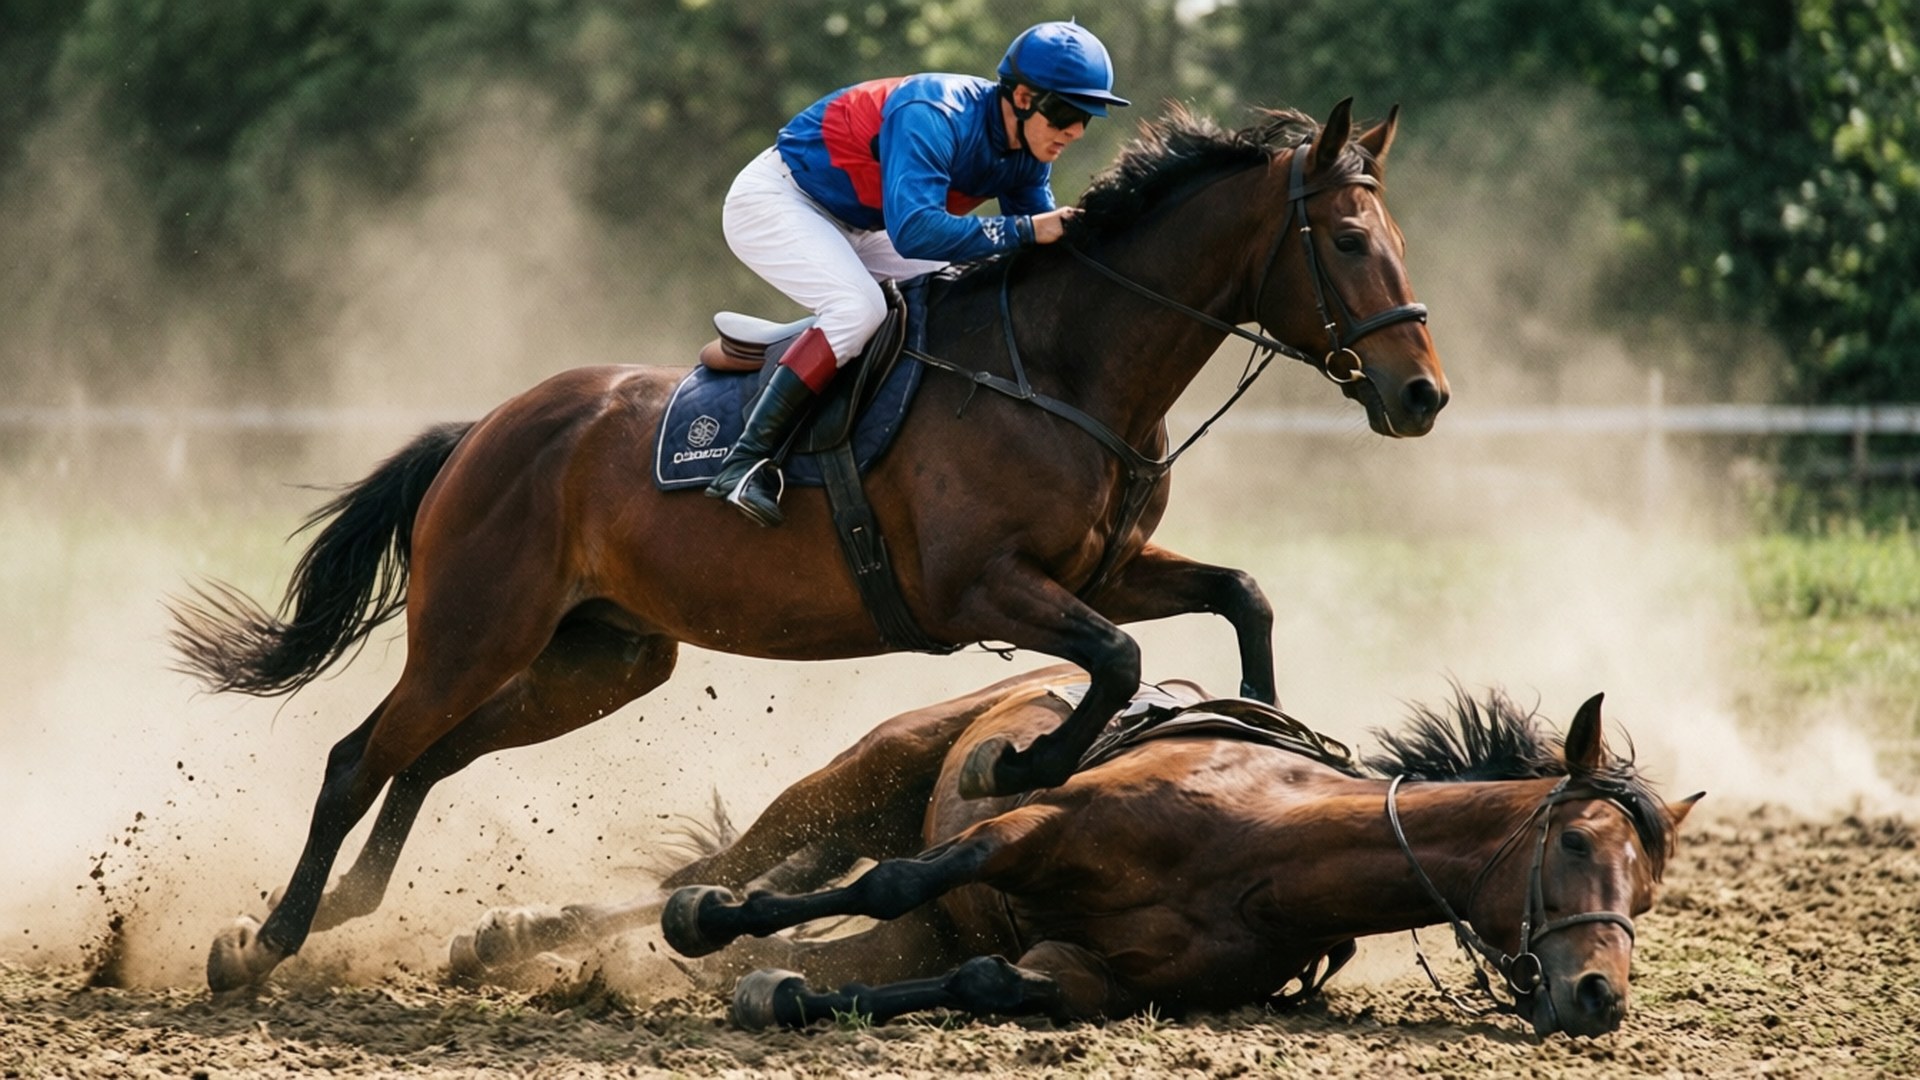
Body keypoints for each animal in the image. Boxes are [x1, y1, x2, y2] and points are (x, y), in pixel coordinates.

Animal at [171, 98, 1447, 992]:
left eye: (1395, 235)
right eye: (1346, 240)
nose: (1422, 396)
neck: (1067, 369)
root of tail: (485, 429)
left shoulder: (1105, 573)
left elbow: (1242, 595)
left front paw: (1258, 723)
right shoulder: (982, 590)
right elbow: (1116, 661)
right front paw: (1029, 766)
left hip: (601, 658)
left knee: (432, 754)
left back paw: (356, 914)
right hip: (473, 630)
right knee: (358, 758)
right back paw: (264, 943)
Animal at [455, 664, 1699, 1037]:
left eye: (1648, 888)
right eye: (1577, 841)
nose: (1601, 995)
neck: (1262, 847)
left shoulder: (1089, 971)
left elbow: (987, 979)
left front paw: (777, 993)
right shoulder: (1026, 831)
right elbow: (899, 873)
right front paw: (719, 942)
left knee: (834, 919)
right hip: (861, 779)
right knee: (723, 874)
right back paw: (519, 937)